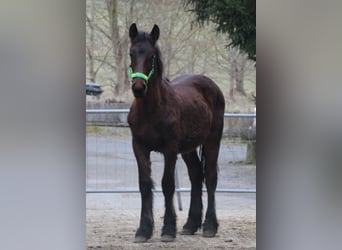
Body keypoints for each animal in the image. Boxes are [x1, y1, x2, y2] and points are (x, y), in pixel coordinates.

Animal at [127, 23, 226, 242]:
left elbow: (168, 185)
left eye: (151, 56)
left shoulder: (170, 150)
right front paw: (143, 230)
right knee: (196, 175)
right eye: (131, 53)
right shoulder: (139, 147)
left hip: (213, 140)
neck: (151, 110)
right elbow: (144, 184)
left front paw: (168, 229)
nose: (138, 88)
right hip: (188, 149)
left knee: (210, 176)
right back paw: (190, 225)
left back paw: (209, 226)